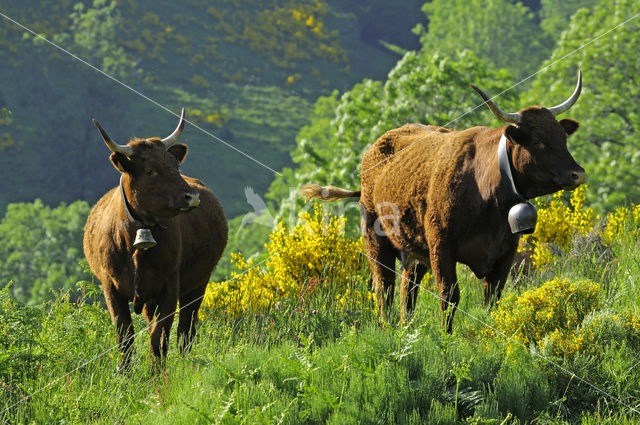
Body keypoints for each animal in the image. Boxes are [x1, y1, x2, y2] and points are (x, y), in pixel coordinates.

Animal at [84, 108, 226, 364]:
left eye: (174, 166)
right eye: (149, 170)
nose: (192, 197)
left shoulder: (169, 288)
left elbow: (159, 337)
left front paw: (157, 372)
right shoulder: (111, 289)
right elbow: (125, 338)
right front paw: (125, 373)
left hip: (198, 283)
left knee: (186, 330)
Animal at [302, 72, 588, 332]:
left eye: (563, 137)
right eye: (538, 141)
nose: (578, 173)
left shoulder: (506, 253)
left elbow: (492, 299)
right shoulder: (441, 246)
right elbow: (449, 296)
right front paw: (446, 337)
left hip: (414, 248)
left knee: (408, 287)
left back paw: (407, 327)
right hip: (376, 240)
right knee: (385, 286)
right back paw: (387, 328)